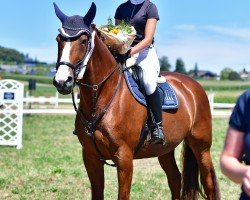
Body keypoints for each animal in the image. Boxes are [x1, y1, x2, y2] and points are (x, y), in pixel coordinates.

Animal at [52, 1, 219, 200]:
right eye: (58, 39)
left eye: (83, 41)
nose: (62, 81)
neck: (102, 98)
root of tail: (193, 86)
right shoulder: (90, 158)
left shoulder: (124, 158)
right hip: (165, 149)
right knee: (175, 179)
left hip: (201, 147)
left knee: (209, 183)